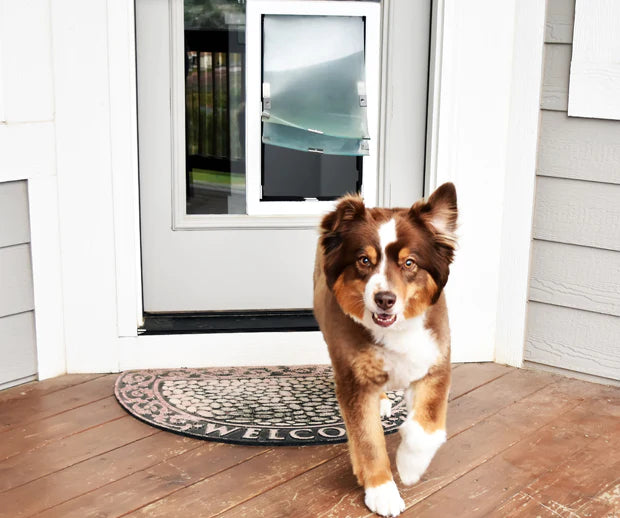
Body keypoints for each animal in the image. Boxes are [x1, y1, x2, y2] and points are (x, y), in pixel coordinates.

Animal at [314, 183, 456, 516]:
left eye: (409, 263)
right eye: (364, 260)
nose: (385, 299)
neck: (396, 331)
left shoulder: (436, 364)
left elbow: (427, 427)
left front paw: (410, 466)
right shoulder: (354, 381)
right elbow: (368, 441)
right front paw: (382, 491)